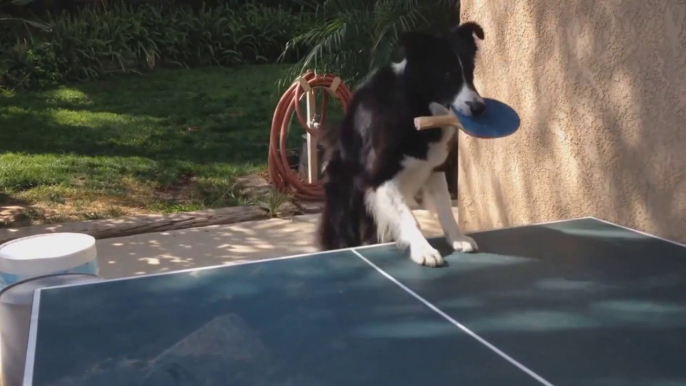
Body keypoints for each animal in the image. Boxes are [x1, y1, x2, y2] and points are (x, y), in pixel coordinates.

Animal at [318, 22, 486, 266]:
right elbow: (409, 216)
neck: (414, 106)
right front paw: (423, 250)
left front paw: (457, 238)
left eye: (470, 72)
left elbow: (444, 205)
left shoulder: (434, 169)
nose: (479, 108)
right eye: (447, 74)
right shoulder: (379, 178)